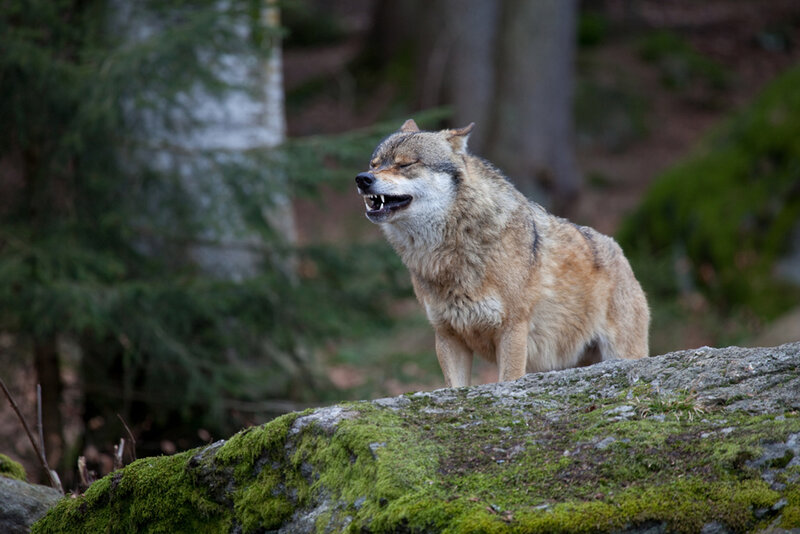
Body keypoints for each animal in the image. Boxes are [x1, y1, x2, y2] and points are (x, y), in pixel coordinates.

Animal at [355, 119, 649, 387]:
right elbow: (456, 387)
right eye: (374, 164)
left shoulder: (513, 330)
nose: (362, 179)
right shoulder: (447, 336)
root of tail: (618, 250)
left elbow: (508, 379)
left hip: (621, 352)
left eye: (405, 164)